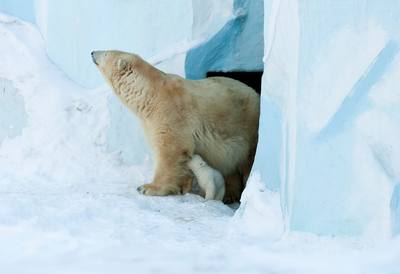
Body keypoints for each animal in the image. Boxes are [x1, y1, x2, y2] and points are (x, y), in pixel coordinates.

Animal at [91, 50, 260, 202]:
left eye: (106, 53)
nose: (92, 52)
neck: (150, 94)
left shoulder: (170, 113)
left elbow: (170, 149)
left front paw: (148, 188)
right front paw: (182, 187)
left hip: (248, 125)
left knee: (248, 158)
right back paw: (230, 195)